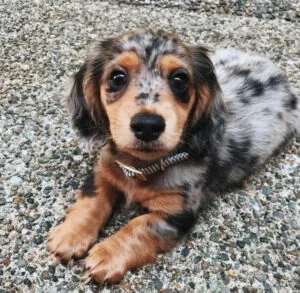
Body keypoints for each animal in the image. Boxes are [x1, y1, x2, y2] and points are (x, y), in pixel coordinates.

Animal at [48, 28, 298, 282]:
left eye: (179, 79)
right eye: (117, 77)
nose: (148, 125)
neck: (142, 167)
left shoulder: (177, 212)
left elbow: (139, 226)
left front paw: (107, 254)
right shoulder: (105, 171)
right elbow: (93, 198)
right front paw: (71, 234)